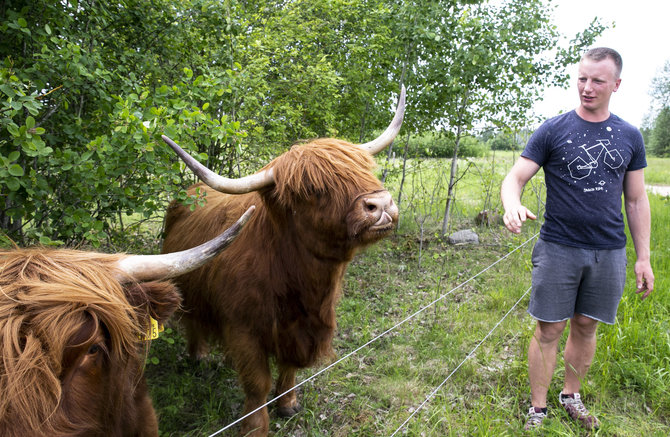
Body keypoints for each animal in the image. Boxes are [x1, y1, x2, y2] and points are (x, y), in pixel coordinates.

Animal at [163, 87, 406, 434]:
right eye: (313, 189)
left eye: (364, 170)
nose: (382, 204)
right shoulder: (243, 329)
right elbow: (257, 384)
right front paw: (255, 427)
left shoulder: (301, 331)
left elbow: (289, 367)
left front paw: (288, 404)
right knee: (193, 322)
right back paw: (199, 357)